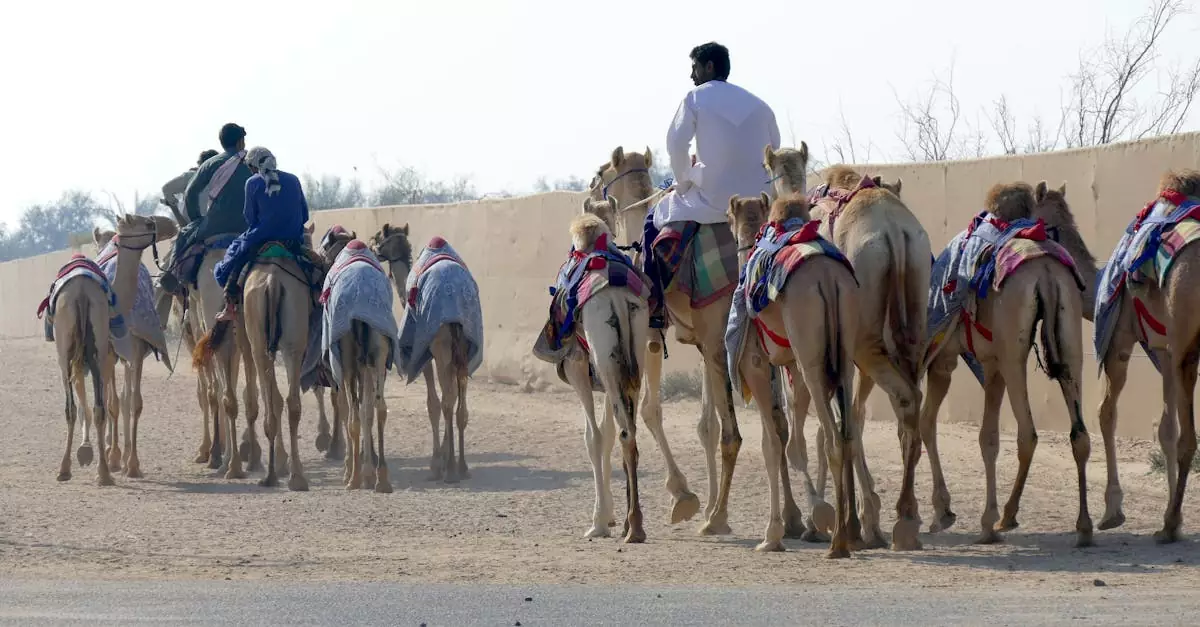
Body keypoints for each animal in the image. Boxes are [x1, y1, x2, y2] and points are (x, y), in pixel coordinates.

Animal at [373, 224, 482, 483]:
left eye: (381, 237)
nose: (372, 245)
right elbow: (451, 399)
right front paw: (445, 456)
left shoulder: (425, 355)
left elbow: (433, 403)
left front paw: (436, 463)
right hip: (464, 344)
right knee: (460, 403)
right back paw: (462, 466)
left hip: (441, 344)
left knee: (447, 400)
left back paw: (450, 470)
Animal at [726, 193, 863, 557]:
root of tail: (828, 278)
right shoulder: (791, 367)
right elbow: (794, 443)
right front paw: (814, 516)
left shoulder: (756, 365)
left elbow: (772, 445)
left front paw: (774, 534)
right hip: (841, 358)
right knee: (846, 434)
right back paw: (847, 532)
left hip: (811, 357)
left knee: (832, 438)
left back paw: (837, 543)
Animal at [764, 145, 932, 550]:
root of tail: (894, 231)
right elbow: (852, 418)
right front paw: (864, 519)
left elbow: (831, 425)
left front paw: (837, 522)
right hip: (910, 318)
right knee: (908, 403)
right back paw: (905, 517)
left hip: (861, 335)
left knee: (884, 405)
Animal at [920, 182, 1092, 546]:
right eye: (1058, 223)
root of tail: (1046, 272)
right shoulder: (991, 363)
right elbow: (987, 437)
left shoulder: (951, 358)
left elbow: (942, 426)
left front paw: (956, 516)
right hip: (1069, 339)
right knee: (1080, 434)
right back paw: (1084, 527)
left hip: (1014, 353)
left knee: (1028, 434)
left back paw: (1007, 518)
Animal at [1090, 170, 1200, 544]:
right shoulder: (1163, 349)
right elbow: (1166, 426)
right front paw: (1175, 519)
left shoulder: (1123, 337)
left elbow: (1106, 413)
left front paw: (1112, 511)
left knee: (1189, 439)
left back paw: (1166, 527)